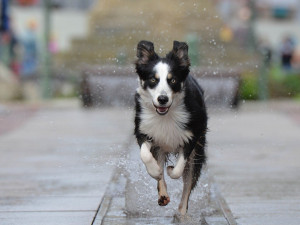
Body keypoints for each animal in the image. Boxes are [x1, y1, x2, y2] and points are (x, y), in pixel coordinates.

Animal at [135, 40, 207, 216]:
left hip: (199, 151)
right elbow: (145, 155)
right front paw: (155, 171)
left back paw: (181, 212)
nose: (162, 99)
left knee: (188, 183)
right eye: (153, 80)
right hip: (160, 147)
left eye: (172, 80)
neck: (165, 115)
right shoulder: (143, 129)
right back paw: (163, 194)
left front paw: (170, 170)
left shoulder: (192, 135)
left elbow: (178, 169)